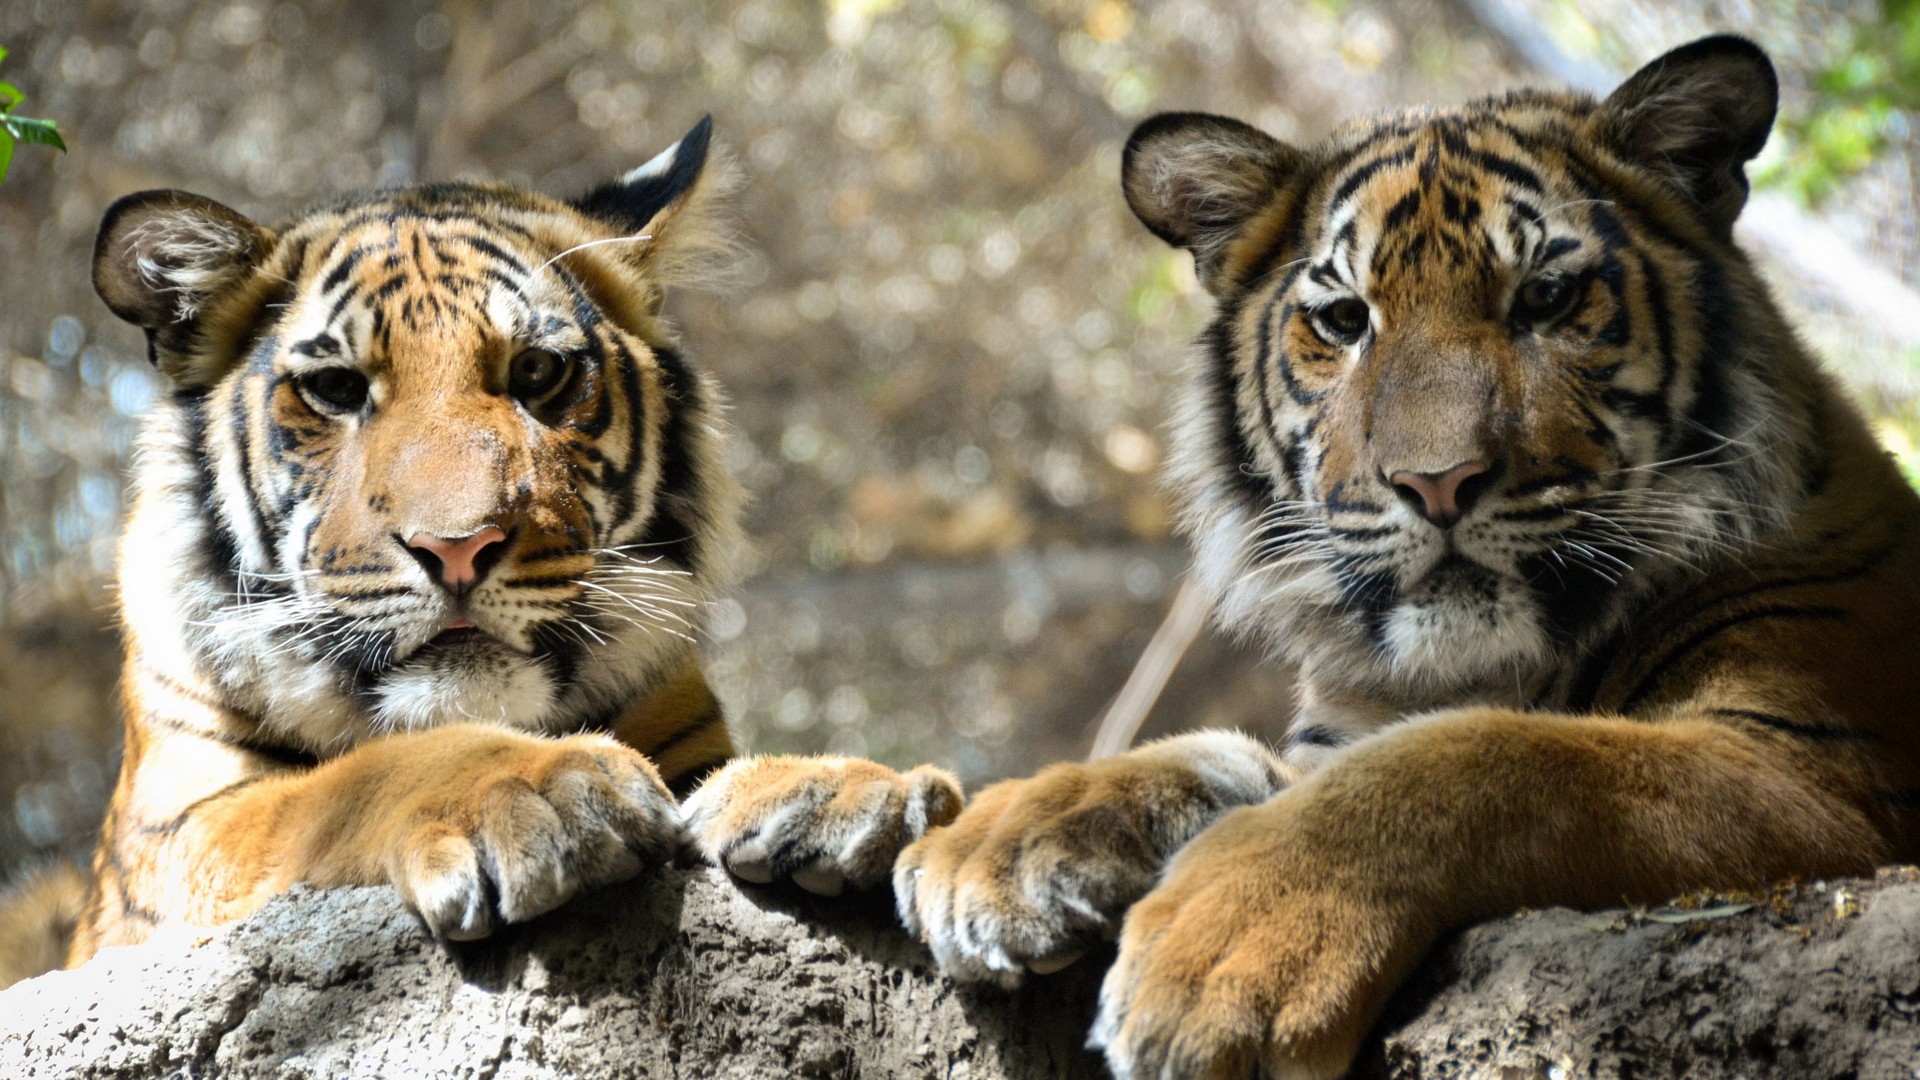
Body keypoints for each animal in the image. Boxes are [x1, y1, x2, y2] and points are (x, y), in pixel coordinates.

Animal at [0, 117, 748, 983]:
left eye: (536, 371)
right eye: (336, 388)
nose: (459, 548)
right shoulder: (177, 834)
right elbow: (339, 788)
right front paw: (540, 786)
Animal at [683, 35, 1920, 1076]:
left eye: (1550, 298)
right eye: (1342, 321)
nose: (1437, 483)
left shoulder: (1816, 768)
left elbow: (1492, 756)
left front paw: (1222, 957)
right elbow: (1218, 754)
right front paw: (986, 833)